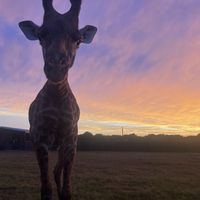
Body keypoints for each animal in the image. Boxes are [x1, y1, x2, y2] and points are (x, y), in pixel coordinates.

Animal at [18, 0, 97, 199]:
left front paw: (64, 193)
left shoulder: (71, 140)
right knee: (54, 171)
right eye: (41, 36)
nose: (56, 69)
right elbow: (45, 190)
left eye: (78, 40)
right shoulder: (39, 139)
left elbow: (67, 190)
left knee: (57, 170)